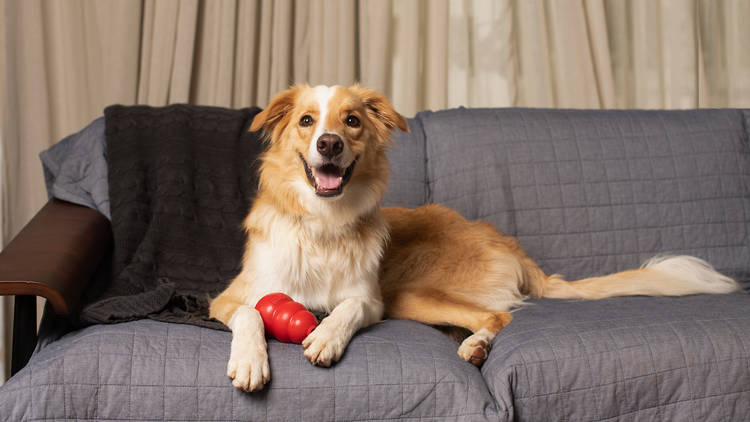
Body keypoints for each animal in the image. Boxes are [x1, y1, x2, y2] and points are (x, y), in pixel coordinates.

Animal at [209, 83, 744, 392]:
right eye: (306, 121)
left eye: (352, 121)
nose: (329, 143)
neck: (323, 223)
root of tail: (506, 242)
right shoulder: (228, 298)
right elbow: (252, 317)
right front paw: (252, 363)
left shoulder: (372, 300)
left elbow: (346, 310)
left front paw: (325, 337)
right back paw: (473, 348)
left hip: (408, 293)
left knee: (499, 315)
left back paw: (477, 348)